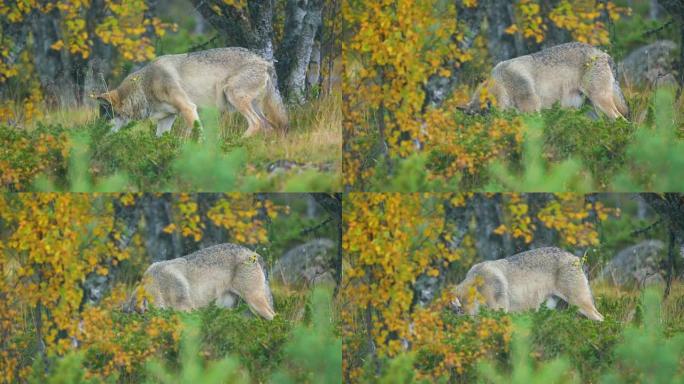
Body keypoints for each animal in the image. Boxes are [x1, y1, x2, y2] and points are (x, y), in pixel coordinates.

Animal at [92, 47, 288, 138]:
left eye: (105, 118)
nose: (95, 135)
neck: (146, 86)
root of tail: (265, 62)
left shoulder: (188, 108)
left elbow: (197, 135)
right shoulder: (166, 119)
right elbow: (160, 140)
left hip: (233, 96)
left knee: (256, 124)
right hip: (254, 106)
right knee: (269, 126)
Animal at [454, 246, 604, 320]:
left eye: (460, 311)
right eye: (455, 312)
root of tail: (574, 257)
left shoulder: (500, 311)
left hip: (580, 304)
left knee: (601, 318)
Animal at [462, 41, 628, 120]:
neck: (504, 84)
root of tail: (603, 53)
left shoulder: (532, 110)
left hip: (601, 102)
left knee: (621, 119)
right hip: (590, 109)